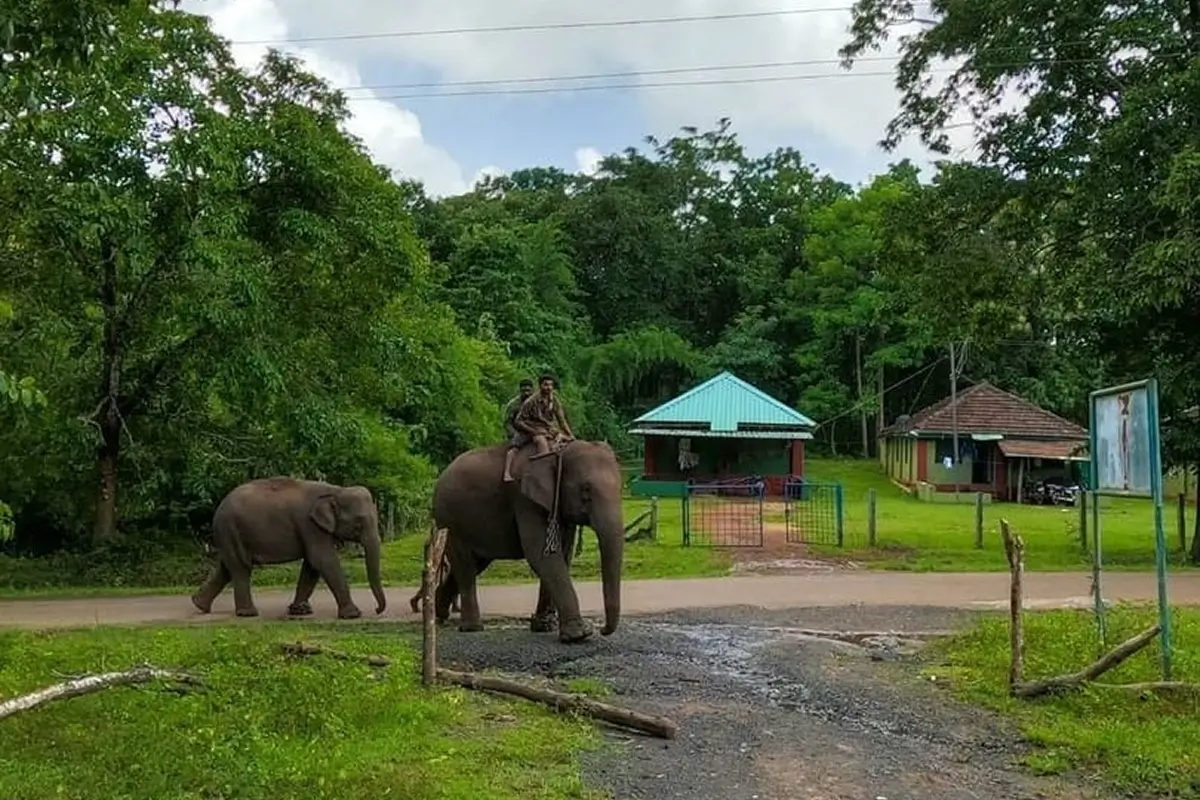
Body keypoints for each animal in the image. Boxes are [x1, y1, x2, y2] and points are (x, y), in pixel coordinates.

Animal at [190, 477, 387, 620]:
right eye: (358, 524)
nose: (377, 610)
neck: (336, 491)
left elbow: (312, 565)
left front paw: (300, 611)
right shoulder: (309, 525)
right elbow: (322, 559)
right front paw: (353, 615)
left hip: (229, 534)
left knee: (227, 567)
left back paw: (199, 605)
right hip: (230, 529)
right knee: (241, 567)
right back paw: (248, 613)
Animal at [430, 438, 624, 643]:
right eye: (585, 490)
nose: (603, 630)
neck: (557, 451)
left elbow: (562, 554)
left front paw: (544, 626)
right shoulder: (525, 500)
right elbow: (540, 554)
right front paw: (579, 635)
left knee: (474, 564)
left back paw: (439, 613)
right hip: (449, 521)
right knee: (465, 566)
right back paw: (471, 628)